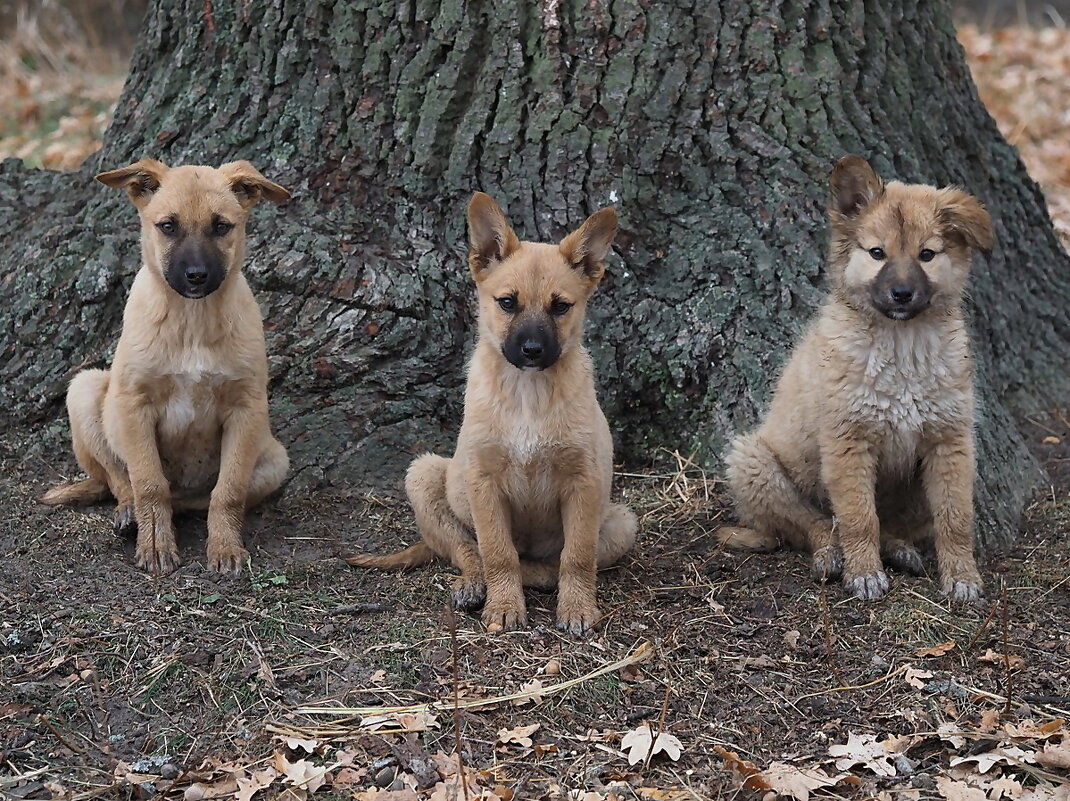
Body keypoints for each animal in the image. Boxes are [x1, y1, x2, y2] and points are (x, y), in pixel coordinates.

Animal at [41, 158, 291, 573]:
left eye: (221, 226)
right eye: (168, 226)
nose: (196, 277)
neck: (191, 322)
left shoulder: (246, 408)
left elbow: (229, 491)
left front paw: (224, 548)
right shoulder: (134, 404)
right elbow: (148, 484)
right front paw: (156, 546)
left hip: (274, 459)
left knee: (196, 500)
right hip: (86, 388)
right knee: (118, 479)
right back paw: (130, 515)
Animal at [346, 192, 637, 633]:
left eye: (560, 307)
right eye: (507, 303)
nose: (532, 350)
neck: (528, 394)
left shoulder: (584, 483)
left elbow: (577, 557)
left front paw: (577, 609)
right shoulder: (483, 482)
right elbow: (497, 552)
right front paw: (503, 606)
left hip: (622, 522)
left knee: (545, 566)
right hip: (424, 475)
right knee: (468, 549)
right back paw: (473, 584)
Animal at [719, 155, 992, 598]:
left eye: (927, 254)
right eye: (877, 253)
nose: (901, 294)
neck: (901, 348)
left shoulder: (949, 444)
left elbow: (954, 519)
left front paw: (962, 577)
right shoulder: (847, 443)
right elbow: (858, 517)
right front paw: (863, 572)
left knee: (892, 525)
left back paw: (898, 548)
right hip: (753, 462)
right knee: (814, 524)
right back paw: (831, 555)